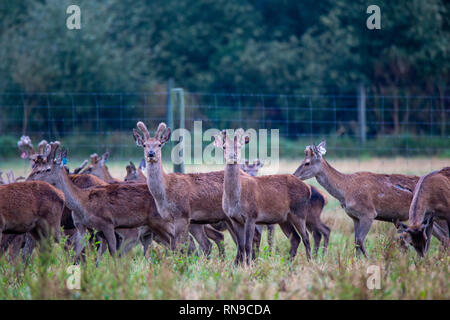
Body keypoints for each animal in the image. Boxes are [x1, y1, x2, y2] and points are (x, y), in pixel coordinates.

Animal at [25, 142, 175, 258]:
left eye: (47, 169)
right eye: (36, 167)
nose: (28, 180)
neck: (82, 203)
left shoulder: (107, 223)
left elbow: (113, 253)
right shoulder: (82, 227)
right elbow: (78, 254)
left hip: (160, 221)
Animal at [214, 129, 312, 264]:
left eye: (239, 146)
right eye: (224, 146)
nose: (232, 156)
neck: (234, 200)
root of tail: (308, 188)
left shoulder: (251, 215)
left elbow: (248, 245)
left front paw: (249, 265)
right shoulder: (233, 219)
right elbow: (240, 245)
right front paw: (242, 265)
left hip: (299, 212)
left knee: (306, 237)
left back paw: (310, 262)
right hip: (284, 218)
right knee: (295, 238)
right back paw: (288, 264)